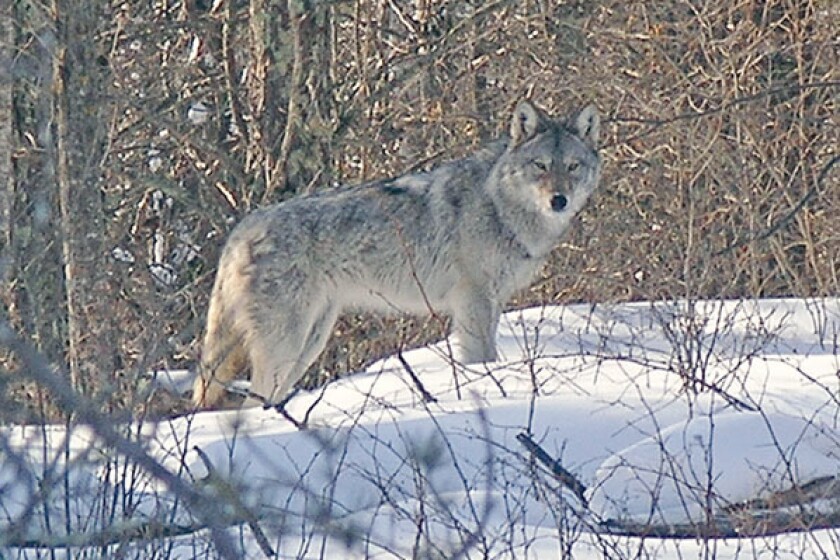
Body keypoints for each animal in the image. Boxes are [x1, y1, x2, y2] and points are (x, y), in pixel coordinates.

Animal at [193, 100, 602, 408]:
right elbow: (482, 359)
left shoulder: (492, 302)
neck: (500, 207)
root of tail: (243, 228)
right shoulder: (473, 302)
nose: (559, 200)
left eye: (572, 167)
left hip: (309, 342)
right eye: (541, 166)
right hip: (286, 345)